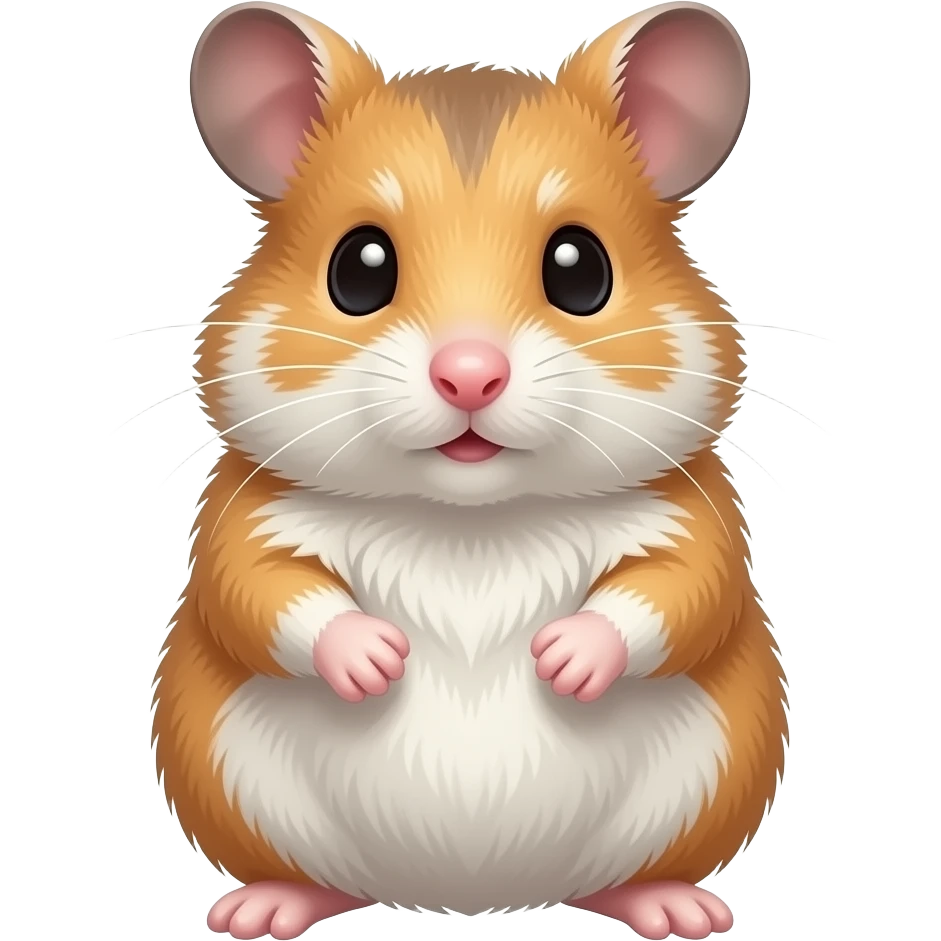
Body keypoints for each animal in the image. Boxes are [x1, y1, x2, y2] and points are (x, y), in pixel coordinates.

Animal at [152, 3, 788, 940]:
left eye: (579, 267)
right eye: (358, 267)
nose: (469, 376)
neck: (469, 520)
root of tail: (471, 896)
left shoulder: (695, 523)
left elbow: (673, 594)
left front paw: (559, 661)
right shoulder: (243, 522)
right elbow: (266, 593)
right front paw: (379, 661)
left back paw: (679, 910)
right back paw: (260, 910)